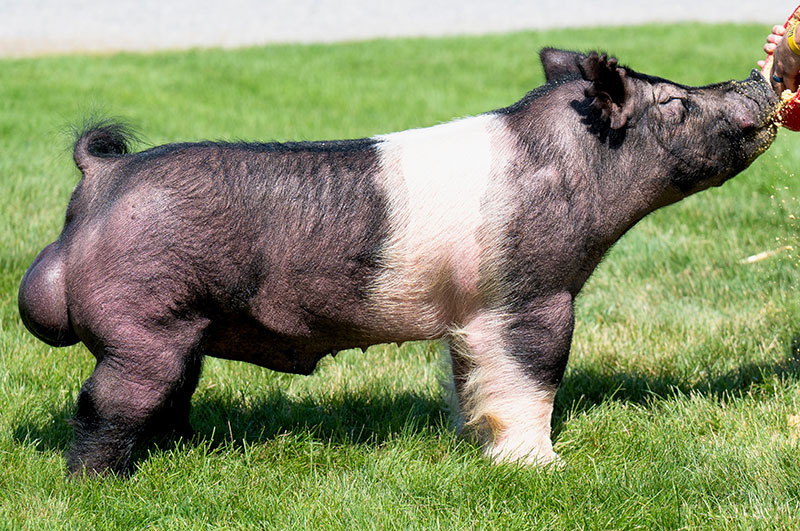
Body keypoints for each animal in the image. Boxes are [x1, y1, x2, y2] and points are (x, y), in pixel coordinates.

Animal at [18, 49, 779, 476]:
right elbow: (533, 381)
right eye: (674, 101)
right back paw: (97, 483)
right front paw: (546, 468)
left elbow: (475, 380)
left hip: (178, 331)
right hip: (143, 324)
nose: (755, 81)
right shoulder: (534, 295)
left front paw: (479, 445)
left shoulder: (473, 314)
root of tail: (101, 177)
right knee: (103, 404)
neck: (574, 167)